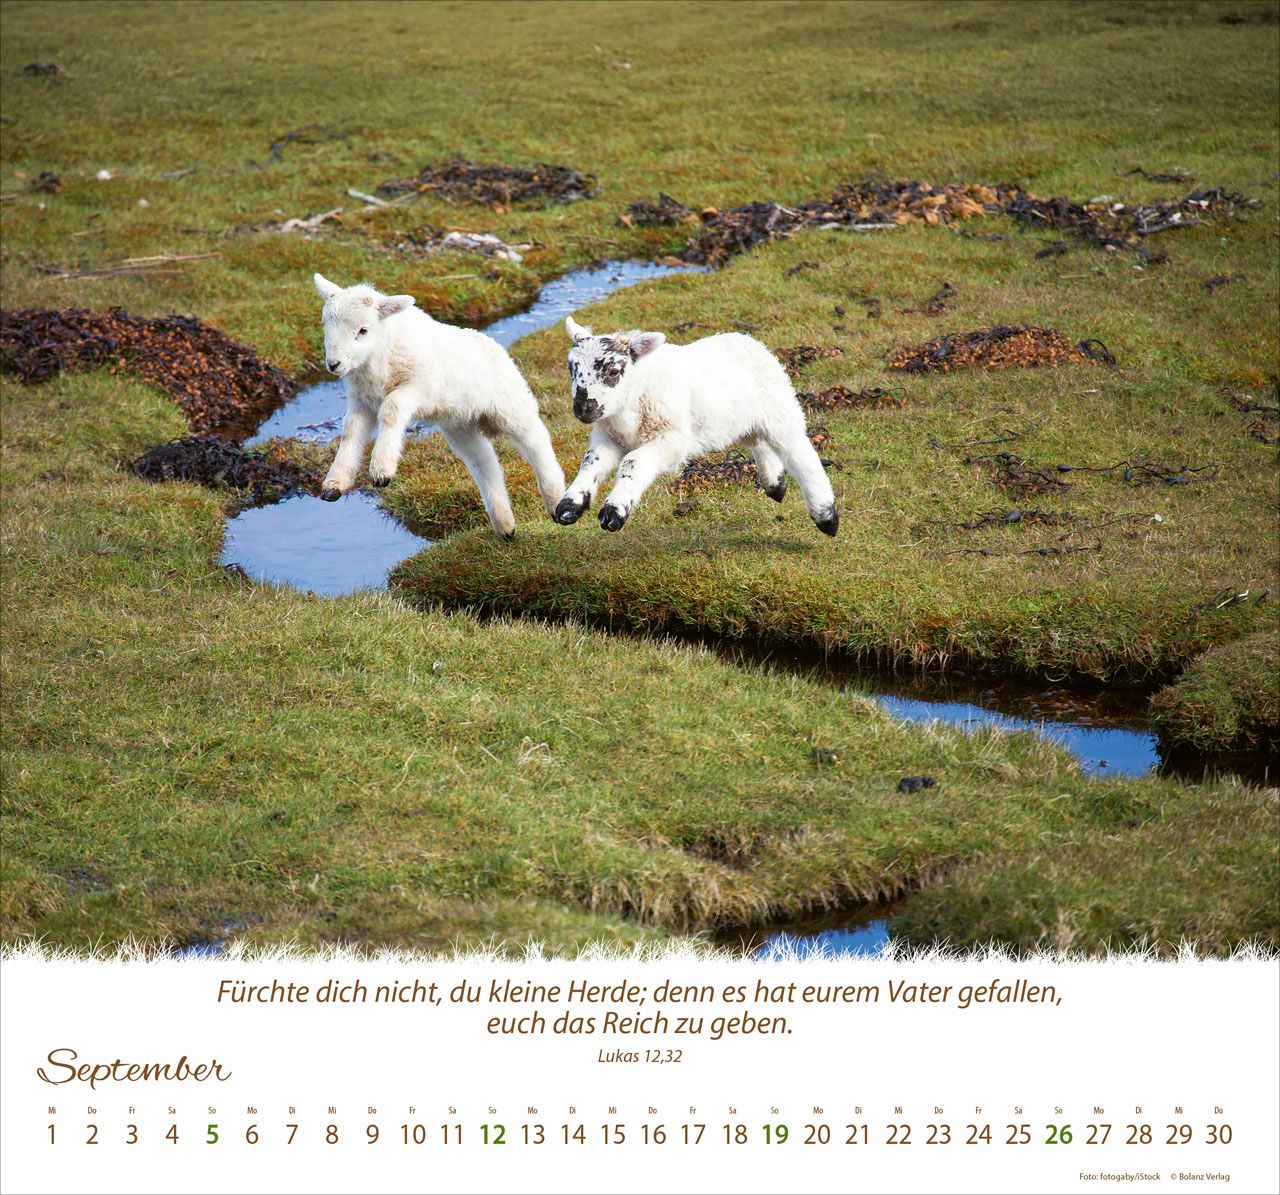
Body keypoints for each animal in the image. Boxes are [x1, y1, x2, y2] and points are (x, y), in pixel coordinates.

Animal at [312, 273, 565, 539]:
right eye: (325, 324)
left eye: (363, 330)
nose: (333, 364)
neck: (377, 359)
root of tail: (494, 345)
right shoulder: (362, 401)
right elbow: (350, 431)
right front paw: (335, 483)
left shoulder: (420, 386)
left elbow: (391, 410)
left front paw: (381, 470)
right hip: (460, 425)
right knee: (485, 461)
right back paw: (505, 524)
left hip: (510, 405)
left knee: (536, 442)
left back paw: (555, 500)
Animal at [554, 317, 838, 536]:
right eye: (571, 369)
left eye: (613, 371)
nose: (583, 408)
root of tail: (749, 341)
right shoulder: (608, 437)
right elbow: (591, 461)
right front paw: (570, 505)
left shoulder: (672, 439)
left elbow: (632, 462)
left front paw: (613, 511)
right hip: (745, 420)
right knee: (761, 444)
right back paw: (775, 485)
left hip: (780, 410)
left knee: (801, 455)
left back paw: (826, 517)